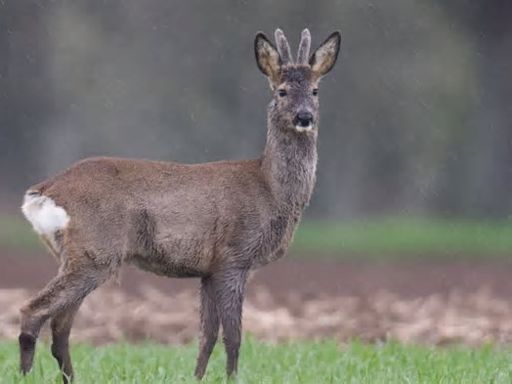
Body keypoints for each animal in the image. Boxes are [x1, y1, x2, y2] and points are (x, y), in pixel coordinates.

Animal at [19, 28, 340, 382]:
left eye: (315, 90)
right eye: (281, 91)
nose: (304, 117)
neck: (269, 189)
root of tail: (45, 191)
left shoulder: (209, 269)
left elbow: (207, 335)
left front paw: (197, 377)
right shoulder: (233, 257)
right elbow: (233, 336)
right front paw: (232, 377)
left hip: (78, 256)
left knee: (60, 326)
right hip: (95, 252)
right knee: (34, 311)